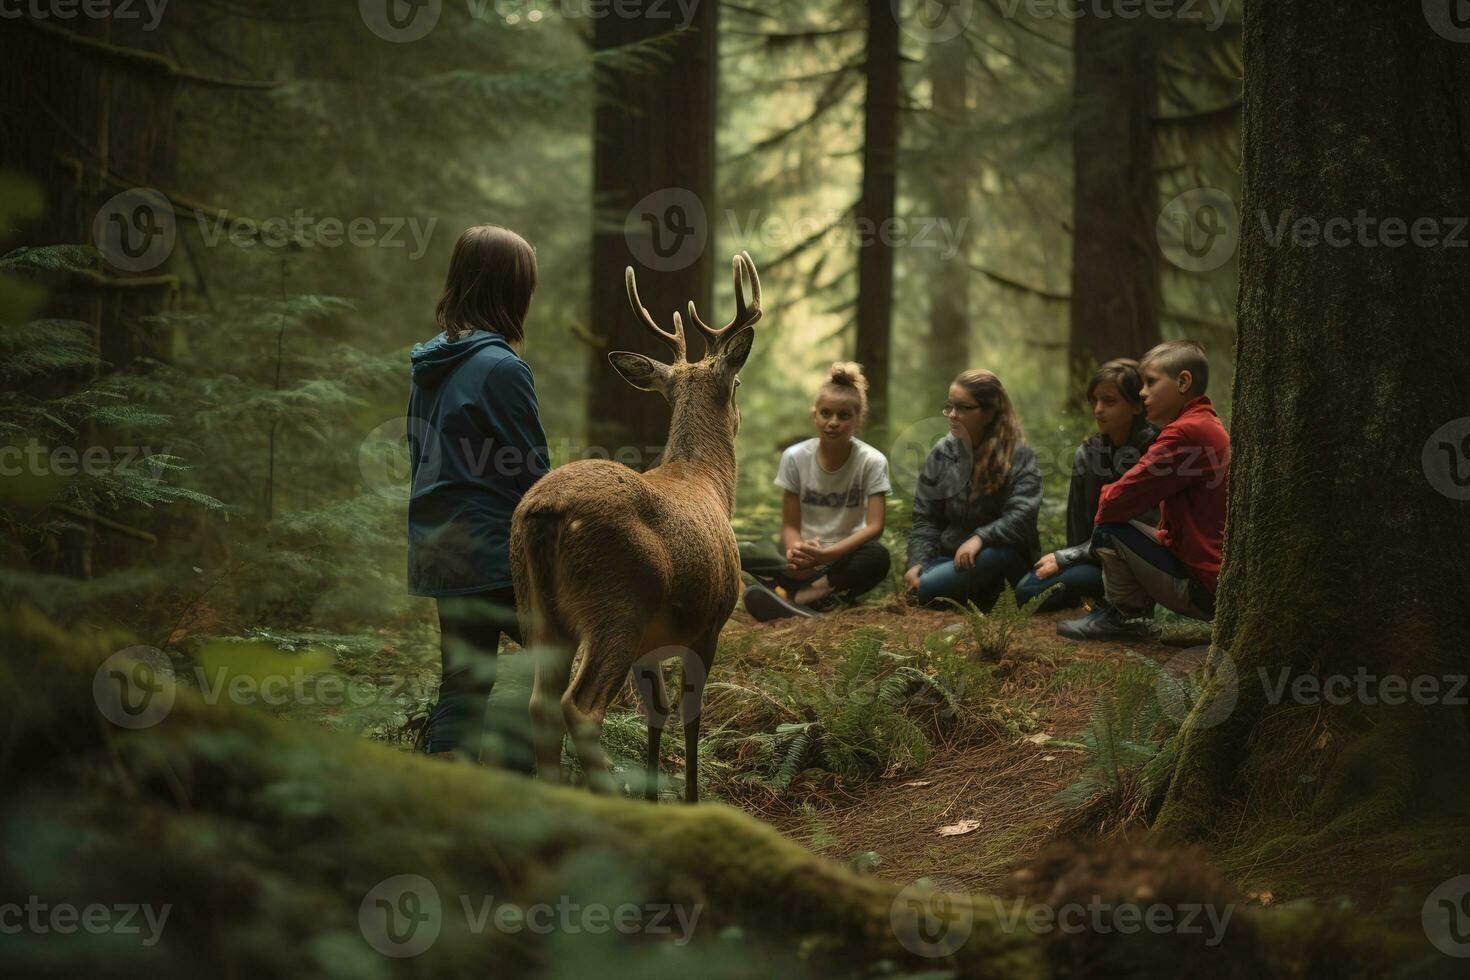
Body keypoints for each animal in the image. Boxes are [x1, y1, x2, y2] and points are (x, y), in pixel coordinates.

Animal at [508, 251, 758, 805]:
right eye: (736, 385)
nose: (740, 417)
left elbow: (657, 713)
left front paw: (653, 795)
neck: (707, 481)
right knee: (579, 706)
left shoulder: (653, 643)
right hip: (617, 601)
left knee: (538, 703)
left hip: (537, 610)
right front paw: (689, 799)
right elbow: (691, 715)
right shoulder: (711, 620)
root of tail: (544, 510)